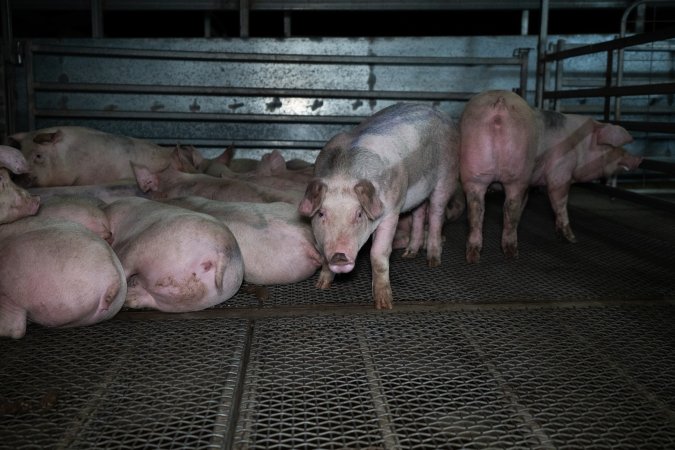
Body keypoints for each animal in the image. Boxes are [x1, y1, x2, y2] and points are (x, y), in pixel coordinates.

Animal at [298, 102, 462, 310]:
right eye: (321, 214)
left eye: (359, 214)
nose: (339, 256)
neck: (343, 175)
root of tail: (441, 113)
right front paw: (321, 286)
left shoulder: (391, 210)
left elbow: (378, 253)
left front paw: (384, 305)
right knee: (419, 213)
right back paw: (409, 254)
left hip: (447, 174)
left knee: (436, 213)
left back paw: (433, 262)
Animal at [460, 89, 644, 264]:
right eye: (611, 147)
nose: (639, 159)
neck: (580, 144)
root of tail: (499, 104)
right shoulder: (561, 171)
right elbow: (559, 203)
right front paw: (572, 239)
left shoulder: (529, 184)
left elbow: (524, 204)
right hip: (517, 171)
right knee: (509, 206)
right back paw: (512, 254)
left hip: (475, 171)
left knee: (476, 209)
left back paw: (474, 256)